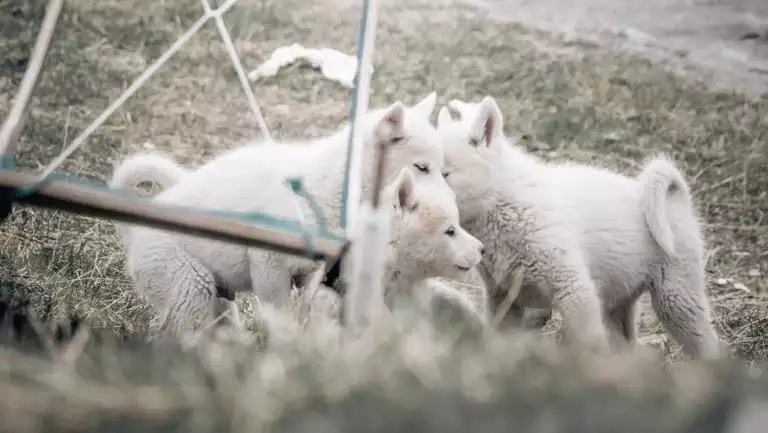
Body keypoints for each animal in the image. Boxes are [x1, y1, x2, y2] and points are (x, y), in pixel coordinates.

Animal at [109, 93, 480, 336]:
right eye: (422, 167)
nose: (452, 202)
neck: (333, 188)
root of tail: (134, 231)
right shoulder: (268, 266)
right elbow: (281, 316)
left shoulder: (316, 273)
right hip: (189, 287)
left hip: (217, 298)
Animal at [436, 94, 724, 358]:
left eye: (444, 174)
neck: (504, 201)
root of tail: (678, 198)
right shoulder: (503, 299)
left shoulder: (574, 290)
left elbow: (589, 347)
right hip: (619, 305)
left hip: (676, 301)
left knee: (709, 348)